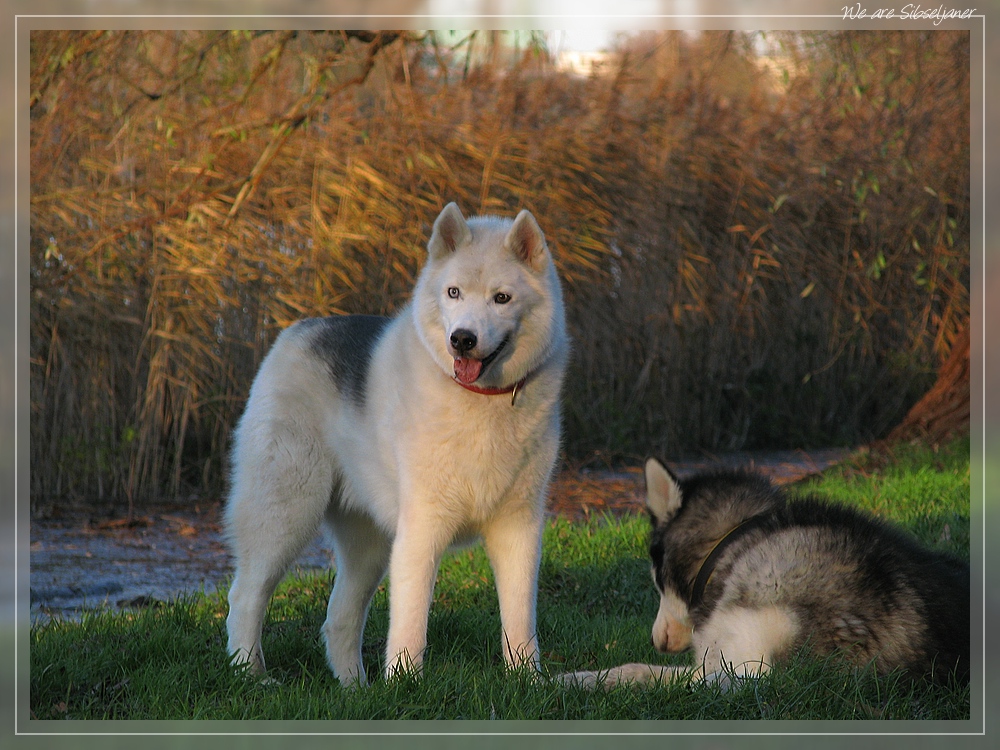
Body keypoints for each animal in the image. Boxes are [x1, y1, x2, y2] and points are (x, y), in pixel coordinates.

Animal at [224, 204, 568, 688]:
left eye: (501, 298)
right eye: (453, 292)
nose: (461, 339)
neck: (481, 400)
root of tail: (299, 330)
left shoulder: (517, 530)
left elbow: (519, 621)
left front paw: (528, 682)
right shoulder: (422, 531)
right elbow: (410, 624)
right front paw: (405, 684)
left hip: (367, 546)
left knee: (338, 618)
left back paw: (355, 689)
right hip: (283, 515)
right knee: (246, 597)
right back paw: (251, 675)